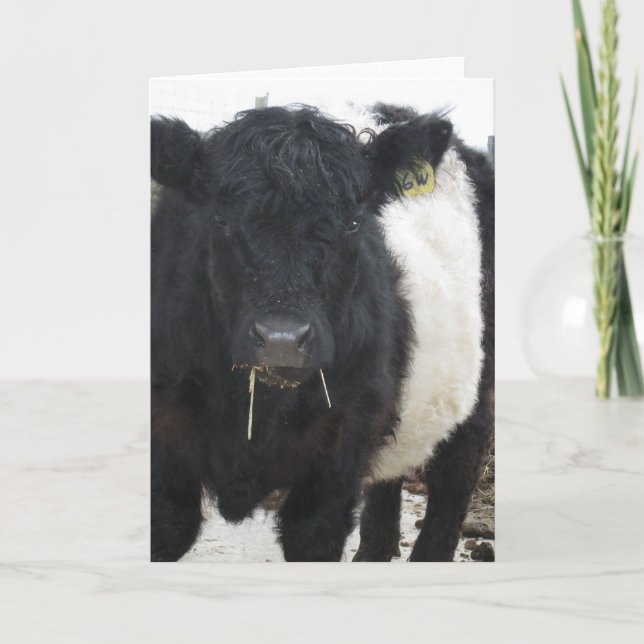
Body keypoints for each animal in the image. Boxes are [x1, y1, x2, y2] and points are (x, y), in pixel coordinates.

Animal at [150, 103, 494, 562]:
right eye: (219, 219)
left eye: (353, 223)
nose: (281, 341)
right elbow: (168, 526)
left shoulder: (340, 446)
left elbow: (312, 535)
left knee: (454, 475)